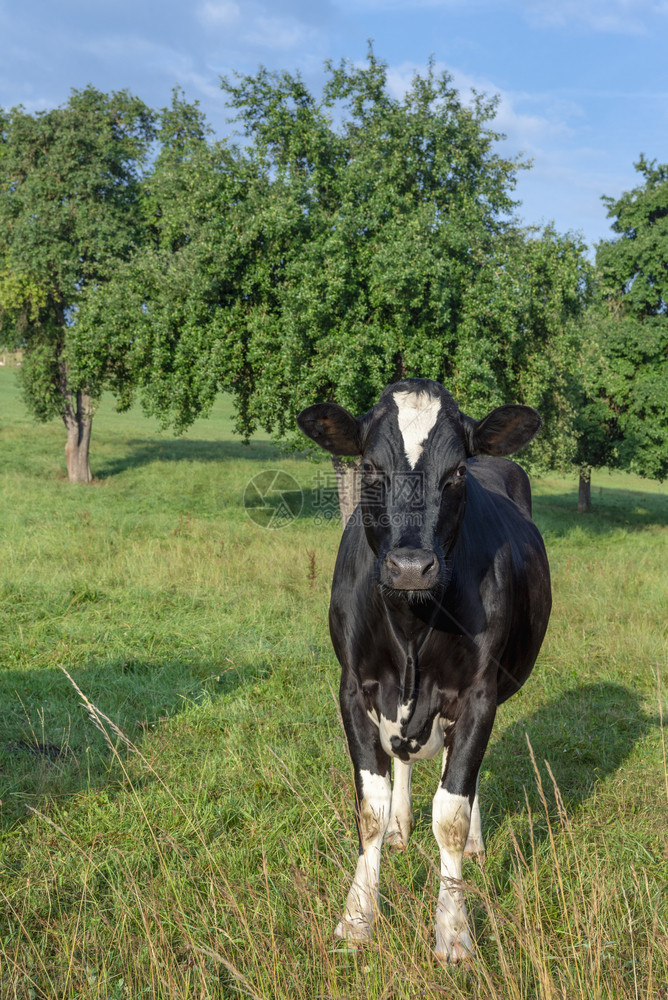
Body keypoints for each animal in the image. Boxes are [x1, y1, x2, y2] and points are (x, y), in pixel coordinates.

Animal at [300, 376, 552, 960]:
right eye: (370, 466)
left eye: (456, 471)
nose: (411, 567)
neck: (411, 623)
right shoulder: (353, 687)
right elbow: (369, 807)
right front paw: (357, 918)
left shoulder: (479, 694)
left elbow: (452, 813)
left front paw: (453, 931)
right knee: (404, 758)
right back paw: (401, 825)